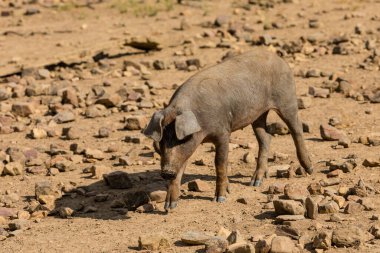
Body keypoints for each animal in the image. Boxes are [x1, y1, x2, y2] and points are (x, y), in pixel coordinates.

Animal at [144, 49, 314, 210]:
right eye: (162, 142)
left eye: (180, 139)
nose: (166, 172)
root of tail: (278, 58)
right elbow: (180, 168)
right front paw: (169, 206)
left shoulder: (223, 132)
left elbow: (220, 163)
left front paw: (220, 199)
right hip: (257, 114)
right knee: (265, 137)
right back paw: (255, 182)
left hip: (287, 99)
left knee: (296, 129)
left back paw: (310, 169)